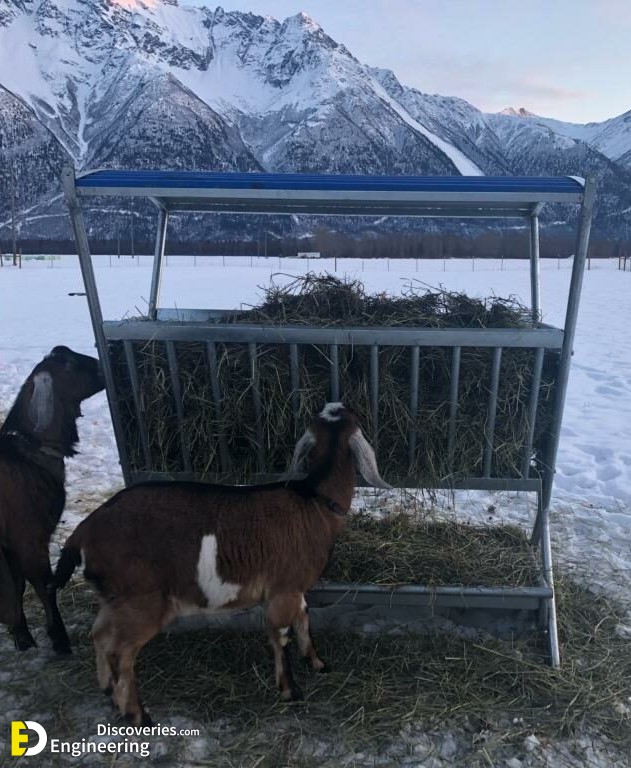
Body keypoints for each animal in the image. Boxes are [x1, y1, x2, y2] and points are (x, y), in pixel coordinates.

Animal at [0, 345, 104, 653]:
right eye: (68, 363)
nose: (100, 367)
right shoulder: (28, 536)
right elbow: (42, 584)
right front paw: (59, 638)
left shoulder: (10, 545)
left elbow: (17, 586)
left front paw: (22, 637)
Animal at [53, 402, 390, 725]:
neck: (313, 500)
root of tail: (83, 531)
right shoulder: (283, 589)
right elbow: (281, 636)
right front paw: (290, 691)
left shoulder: (296, 589)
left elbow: (304, 619)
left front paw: (317, 664)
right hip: (141, 602)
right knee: (120, 653)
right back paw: (138, 715)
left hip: (114, 599)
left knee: (99, 634)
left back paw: (108, 691)